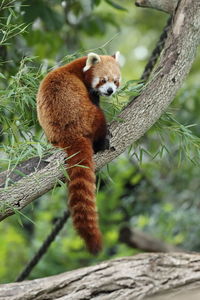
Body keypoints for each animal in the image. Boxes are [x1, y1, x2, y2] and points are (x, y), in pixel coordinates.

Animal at [36, 51, 120, 253]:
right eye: (103, 80)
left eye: (116, 81)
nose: (110, 91)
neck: (80, 67)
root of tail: (71, 135)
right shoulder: (89, 91)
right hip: (87, 115)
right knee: (99, 117)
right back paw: (103, 142)